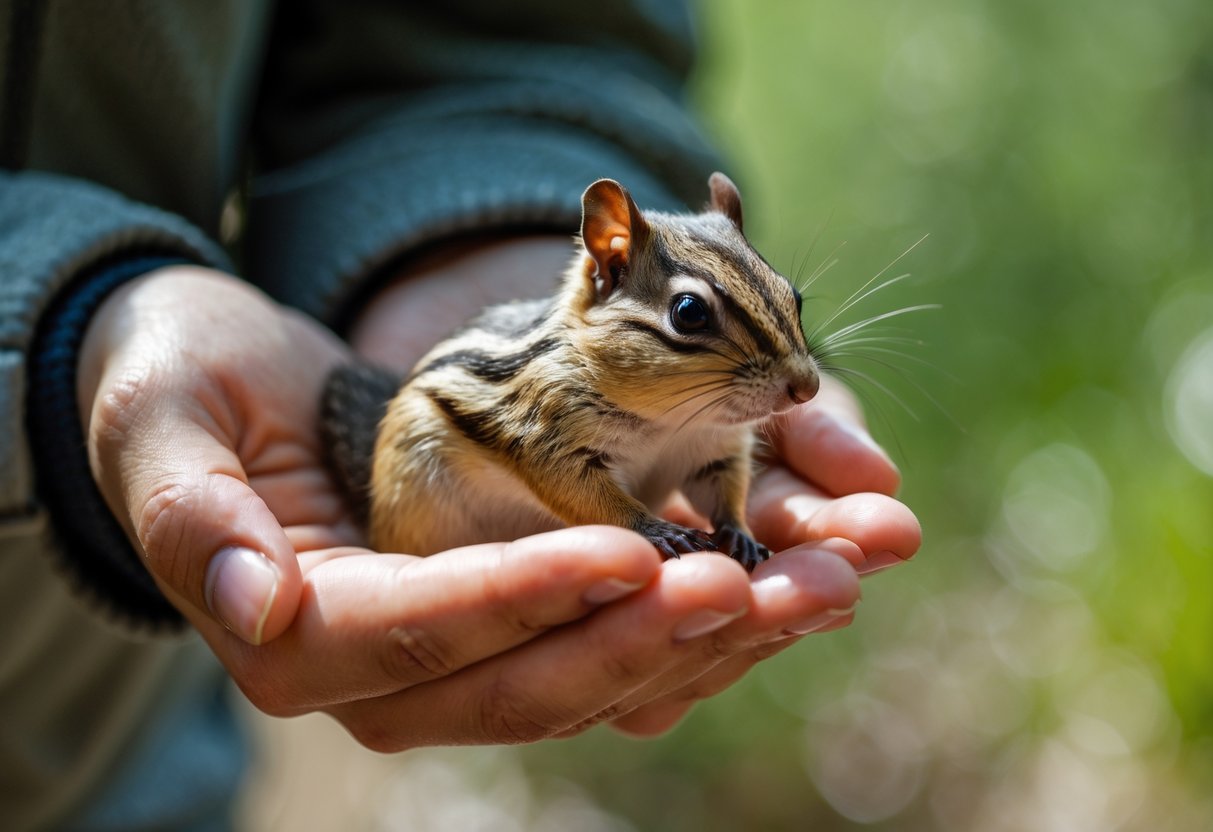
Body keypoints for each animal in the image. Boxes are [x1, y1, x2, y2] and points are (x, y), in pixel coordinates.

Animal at [320, 173, 820, 570]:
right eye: (689, 312)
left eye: (793, 295)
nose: (807, 388)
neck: (670, 422)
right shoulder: (543, 431)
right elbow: (583, 494)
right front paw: (656, 529)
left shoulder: (713, 448)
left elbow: (723, 490)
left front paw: (740, 533)